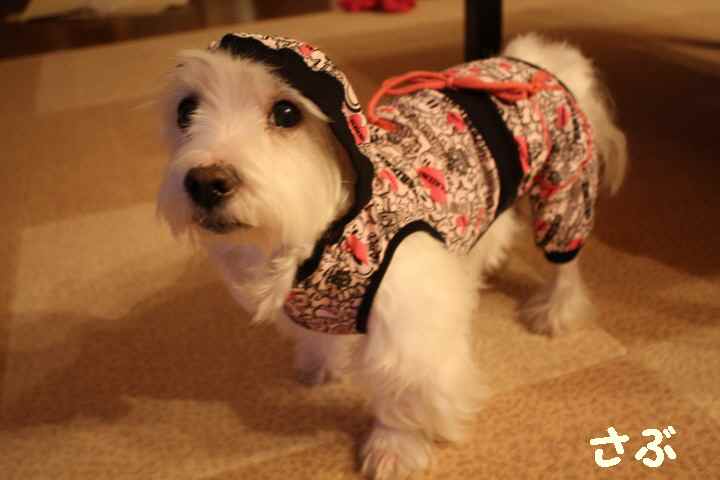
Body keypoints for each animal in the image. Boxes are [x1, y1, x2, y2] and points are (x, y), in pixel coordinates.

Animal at [157, 32, 627, 479]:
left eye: (287, 113)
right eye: (185, 110)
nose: (204, 183)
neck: (325, 240)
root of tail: (539, 60)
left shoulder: (411, 330)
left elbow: (404, 392)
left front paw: (394, 448)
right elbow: (320, 337)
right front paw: (321, 364)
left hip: (564, 189)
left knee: (566, 264)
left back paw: (556, 311)